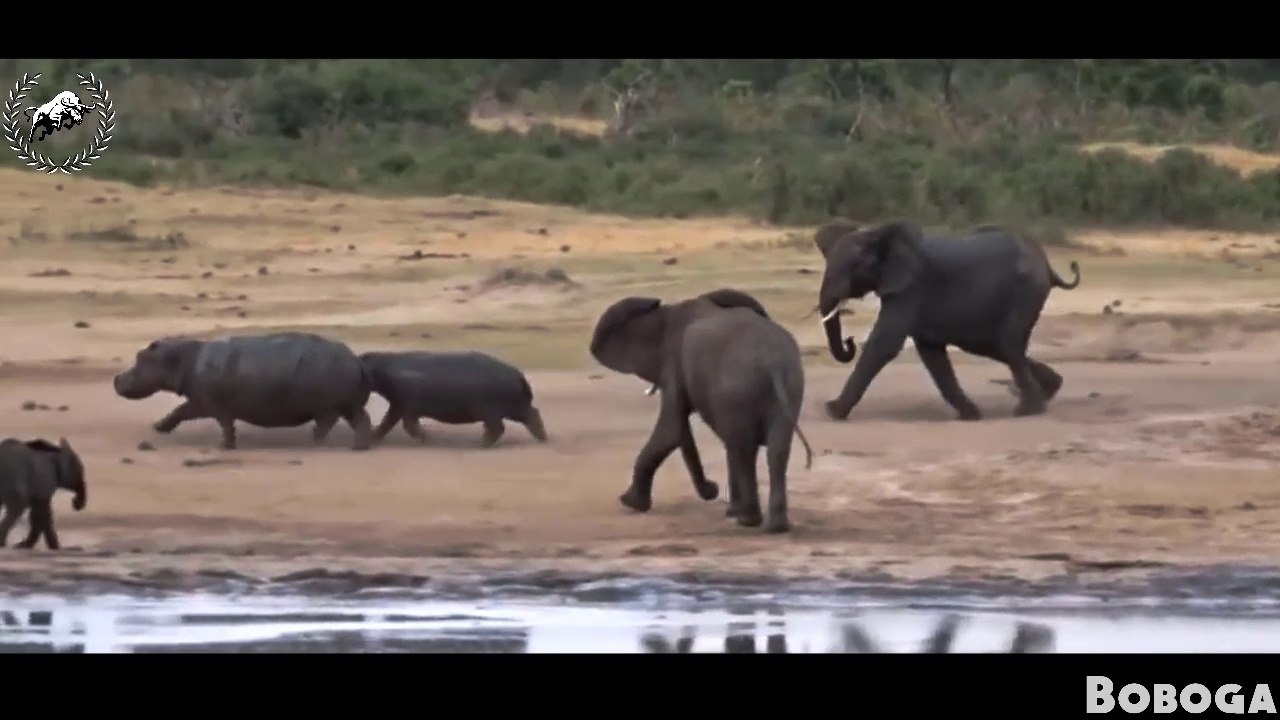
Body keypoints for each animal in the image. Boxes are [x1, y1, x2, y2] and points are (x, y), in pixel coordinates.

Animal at [113, 332, 373, 450]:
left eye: (140, 358)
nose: (116, 379)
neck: (181, 359)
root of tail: (356, 360)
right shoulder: (205, 403)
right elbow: (181, 413)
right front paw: (158, 427)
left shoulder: (208, 403)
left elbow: (190, 414)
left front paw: (224, 447)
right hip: (347, 405)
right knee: (362, 419)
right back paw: (358, 446)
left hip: (330, 406)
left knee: (328, 423)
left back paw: (315, 442)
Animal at [359, 350, 549, 448]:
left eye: (362, 359)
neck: (379, 367)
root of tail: (518, 375)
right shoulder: (397, 405)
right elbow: (386, 423)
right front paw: (374, 436)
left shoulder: (407, 407)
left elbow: (409, 426)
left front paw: (427, 439)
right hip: (514, 407)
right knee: (532, 414)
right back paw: (543, 438)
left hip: (493, 410)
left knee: (498, 428)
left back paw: (479, 444)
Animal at [589, 287, 814, 533]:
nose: (711, 489)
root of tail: (772, 360)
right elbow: (680, 429)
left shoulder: (674, 363)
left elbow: (671, 430)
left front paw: (629, 503)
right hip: (790, 385)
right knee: (774, 450)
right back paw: (775, 526)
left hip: (737, 389)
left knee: (743, 448)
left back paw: (747, 521)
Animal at [813, 219, 1081, 421]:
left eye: (854, 267)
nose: (849, 341)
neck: (877, 235)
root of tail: (1048, 266)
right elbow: (931, 352)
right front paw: (971, 415)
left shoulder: (911, 287)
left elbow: (885, 343)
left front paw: (832, 411)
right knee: (994, 346)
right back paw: (1049, 391)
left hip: (1027, 292)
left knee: (1007, 345)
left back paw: (1027, 410)